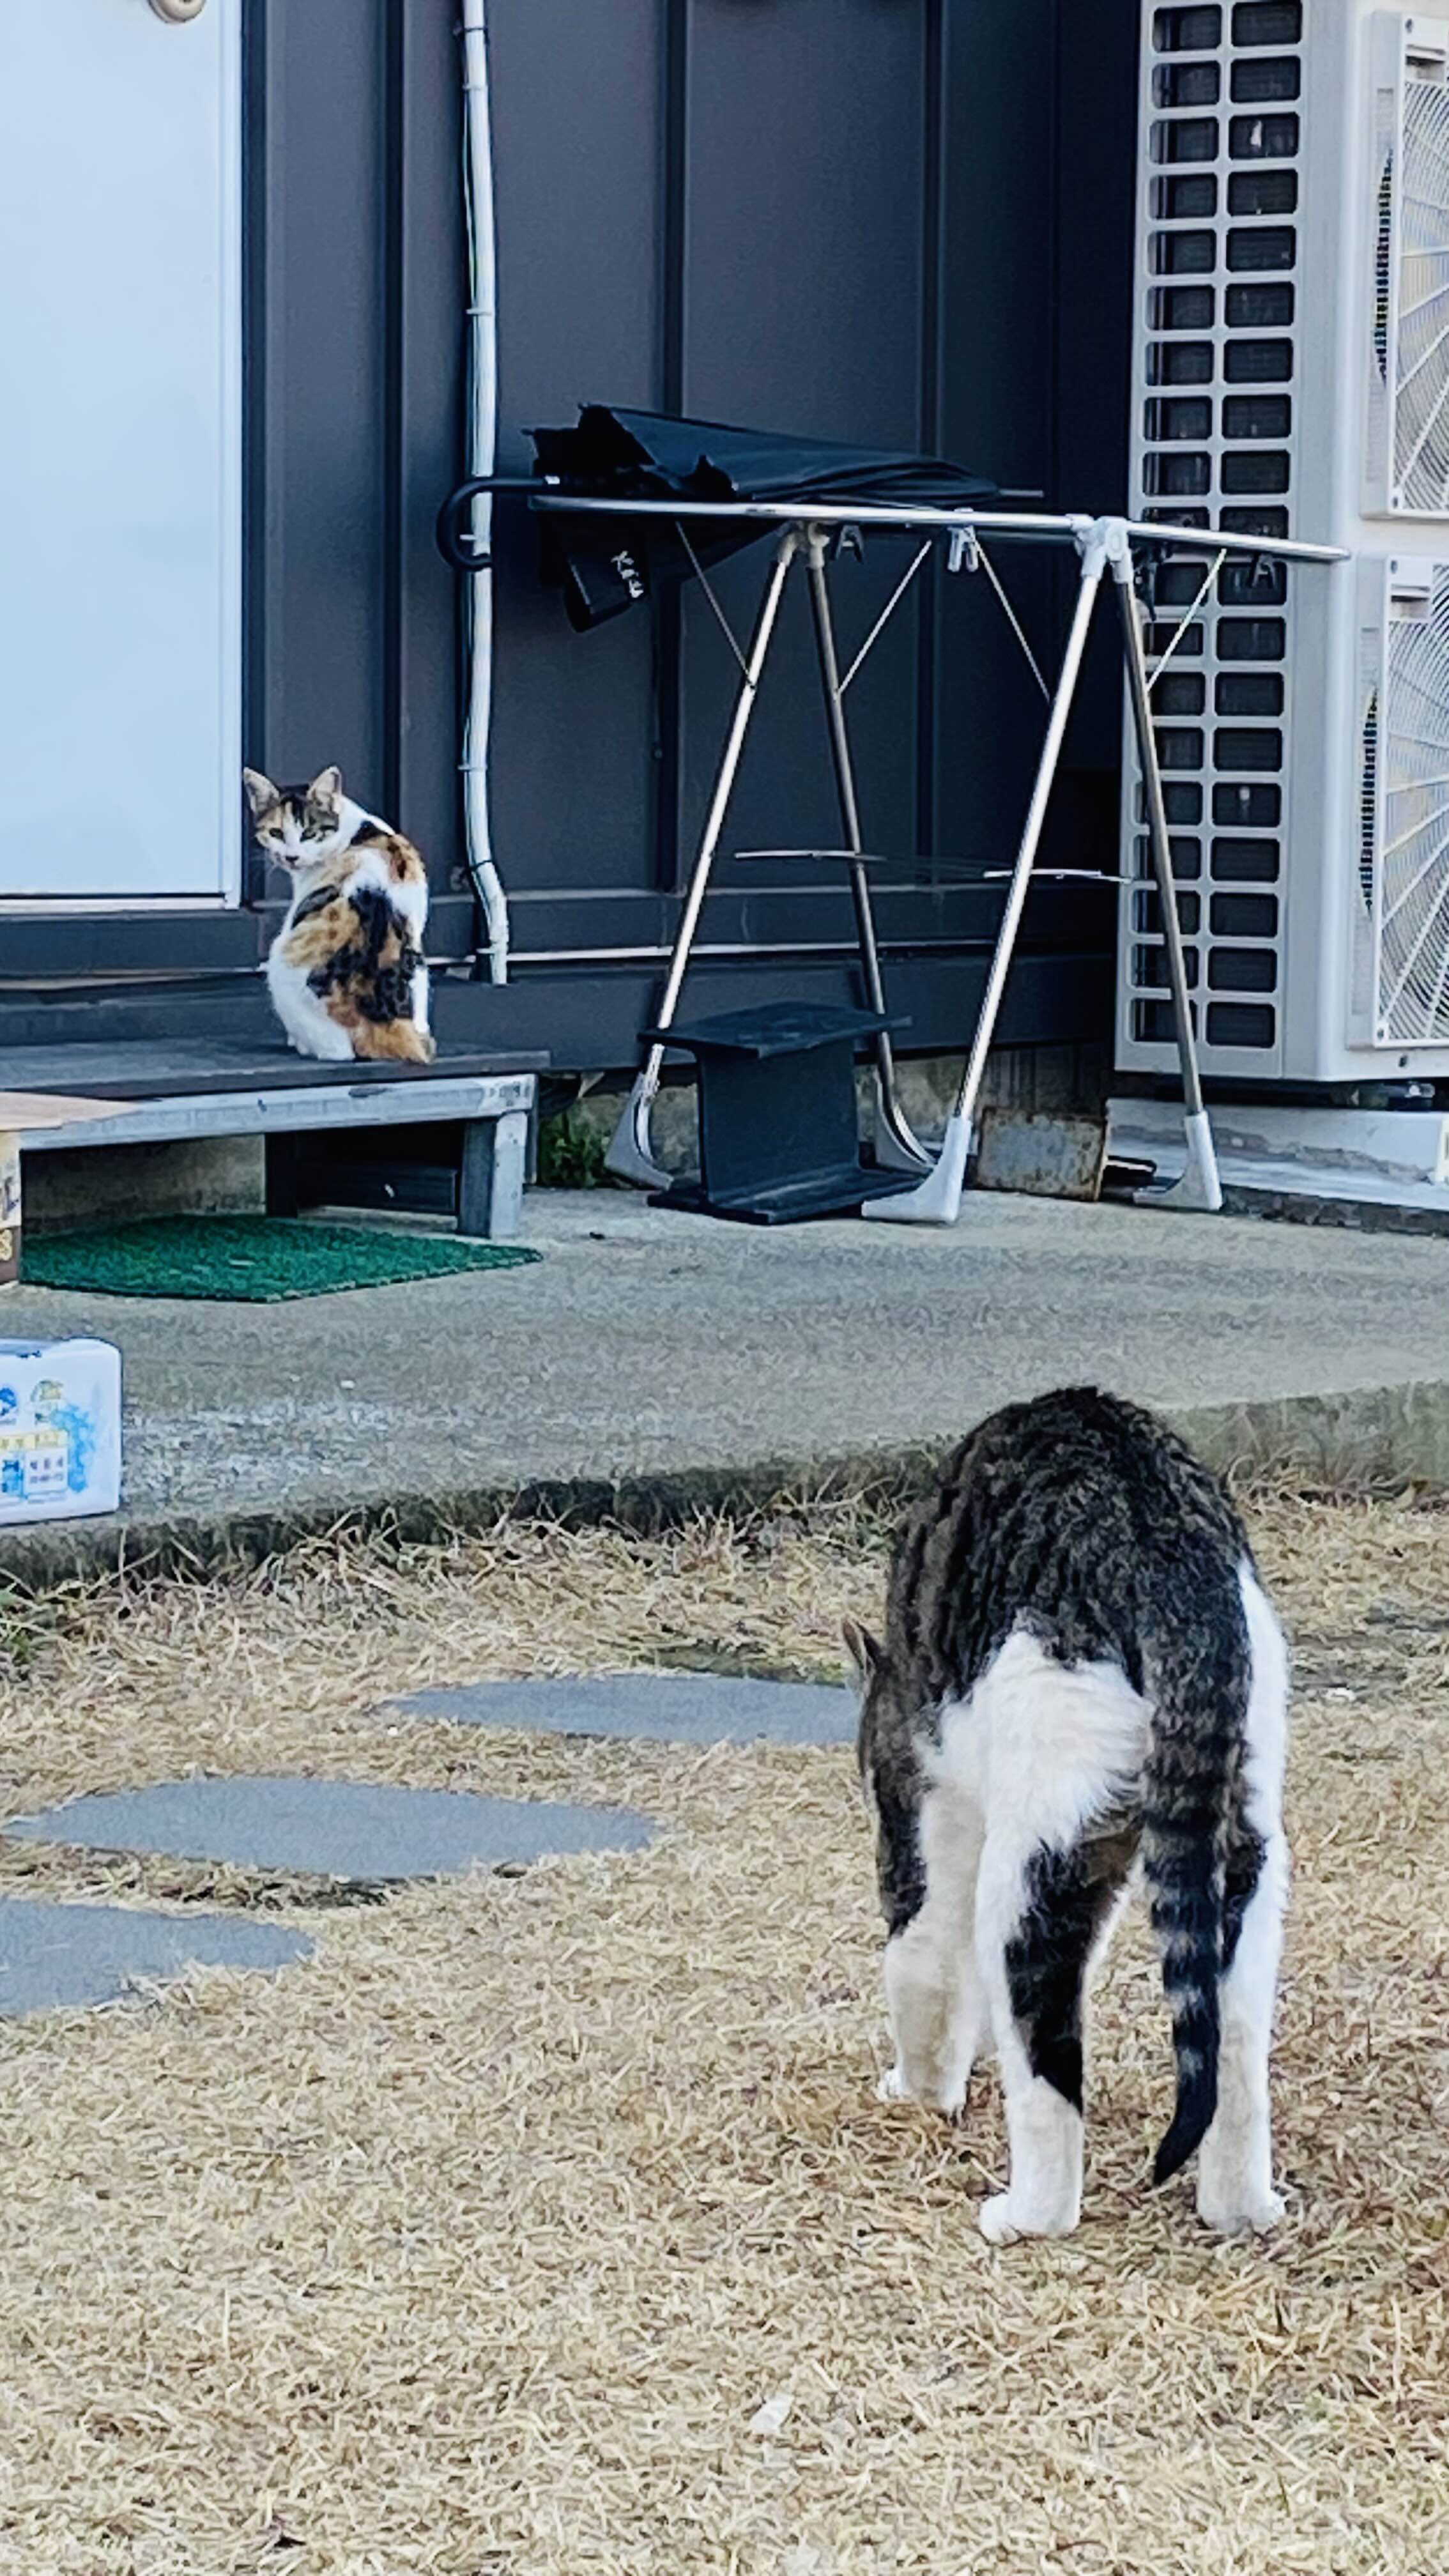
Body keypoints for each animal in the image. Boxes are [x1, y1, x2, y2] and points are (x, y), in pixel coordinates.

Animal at [242, 765, 435, 1064]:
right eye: (276, 832)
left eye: (309, 833)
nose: (291, 857)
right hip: (421, 967)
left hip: (279, 966)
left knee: (338, 1053)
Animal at [845, 1384, 1289, 2244]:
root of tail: (1173, 1562)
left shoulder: (928, 1811)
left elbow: (926, 1965)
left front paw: (917, 2091)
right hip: (1243, 1856)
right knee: (1230, 2044)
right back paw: (1241, 2210)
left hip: (1030, 1862)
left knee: (1047, 2061)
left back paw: (1025, 2215)